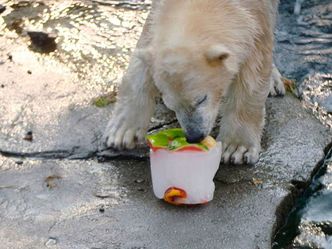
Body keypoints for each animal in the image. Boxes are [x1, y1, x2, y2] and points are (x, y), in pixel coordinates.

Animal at [103, 0, 286, 165]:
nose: (194, 136)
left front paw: (236, 148)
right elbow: (143, 51)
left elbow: (253, 70)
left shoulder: (258, 15)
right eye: (171, 105)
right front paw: (121, 132)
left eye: (201, 99)